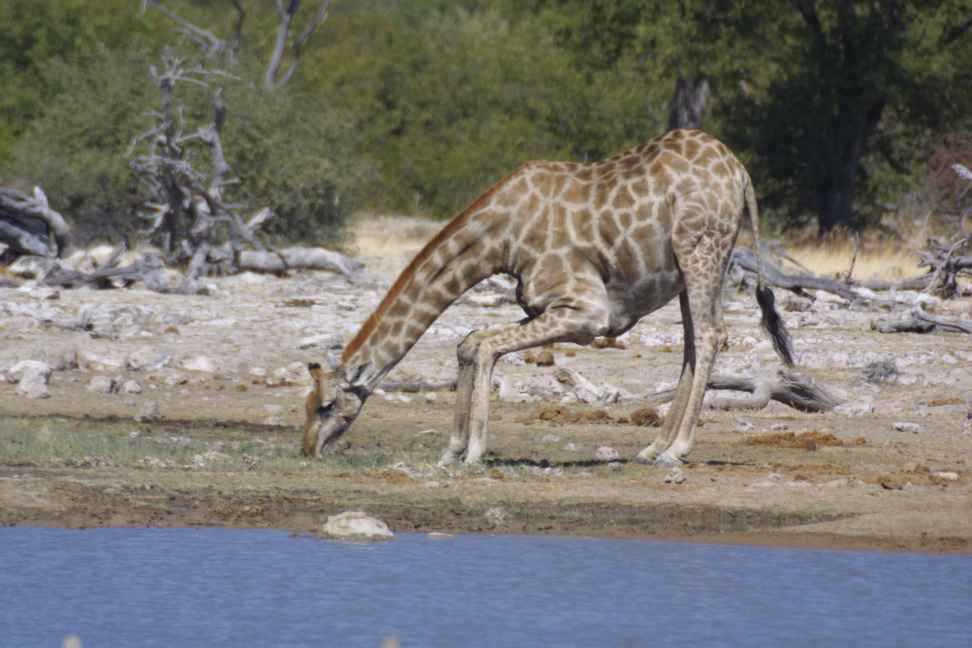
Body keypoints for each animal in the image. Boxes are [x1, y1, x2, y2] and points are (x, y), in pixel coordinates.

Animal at [306, 129, 796, 466]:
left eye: (326, 405)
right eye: (308, 405)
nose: (307, 448)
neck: (500, 238)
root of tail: (740, 172)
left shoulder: (587, 312)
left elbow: (484, 345)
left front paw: (473, 451)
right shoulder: (548, 307)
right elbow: (470, 341)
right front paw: (452, 449)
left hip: (701, 250)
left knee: (712, 334)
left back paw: (676, 449)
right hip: (688, 268)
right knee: (694, 345)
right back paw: (653, 447)